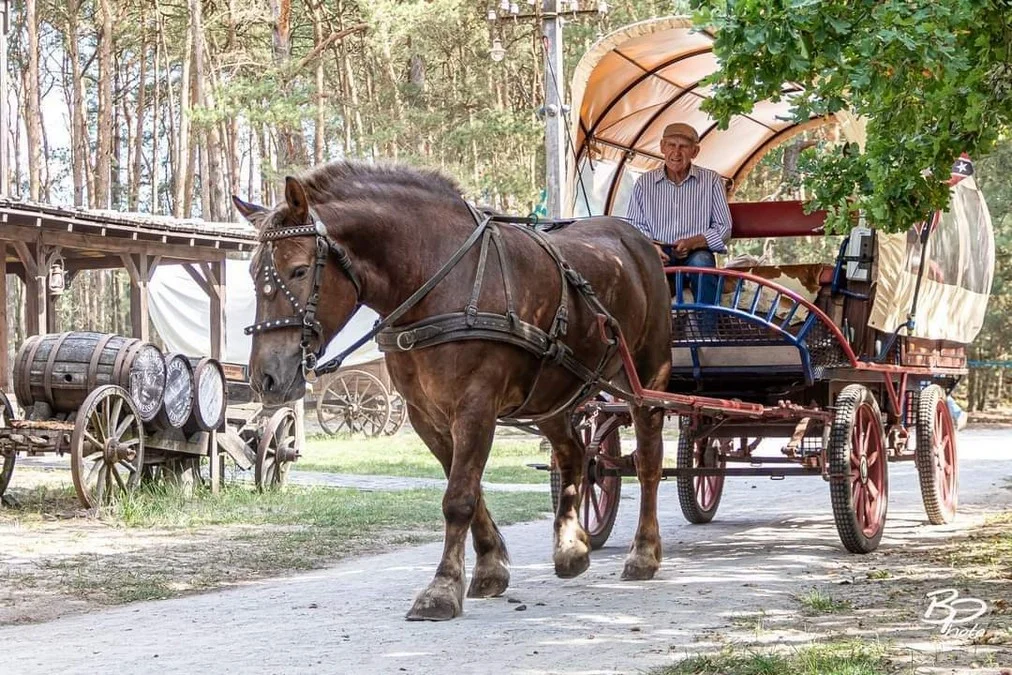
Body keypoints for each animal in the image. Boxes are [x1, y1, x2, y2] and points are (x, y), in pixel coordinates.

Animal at [236, 163, 671, 623]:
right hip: (551, 393)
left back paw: (644, 553)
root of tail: (635, 238)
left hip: (647, 379)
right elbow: (468, 487)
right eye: (253, 275)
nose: (265, 377)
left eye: (299, 270)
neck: (436, 278)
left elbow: (459, 496)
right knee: (573, 454)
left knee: (648, 461)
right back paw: (571, 547)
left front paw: (443, 588)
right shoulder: (425, 414)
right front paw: (490, 567)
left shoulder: (475, 405)